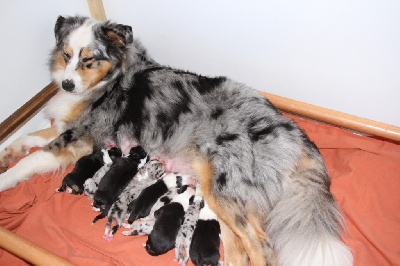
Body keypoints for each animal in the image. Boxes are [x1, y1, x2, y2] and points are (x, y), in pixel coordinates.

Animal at [0, 15, 352, 264]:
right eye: (66, 54)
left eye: (89, 60)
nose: (67, 84)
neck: (107, 80)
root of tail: (291, 129)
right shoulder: (65, 127)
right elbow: (23, 137)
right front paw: (7, 152)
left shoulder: (81, 137)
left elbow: (31, 160)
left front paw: (5, 178)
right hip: (220, 199)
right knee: (239, 250)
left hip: (224, 188)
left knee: (262, 246)